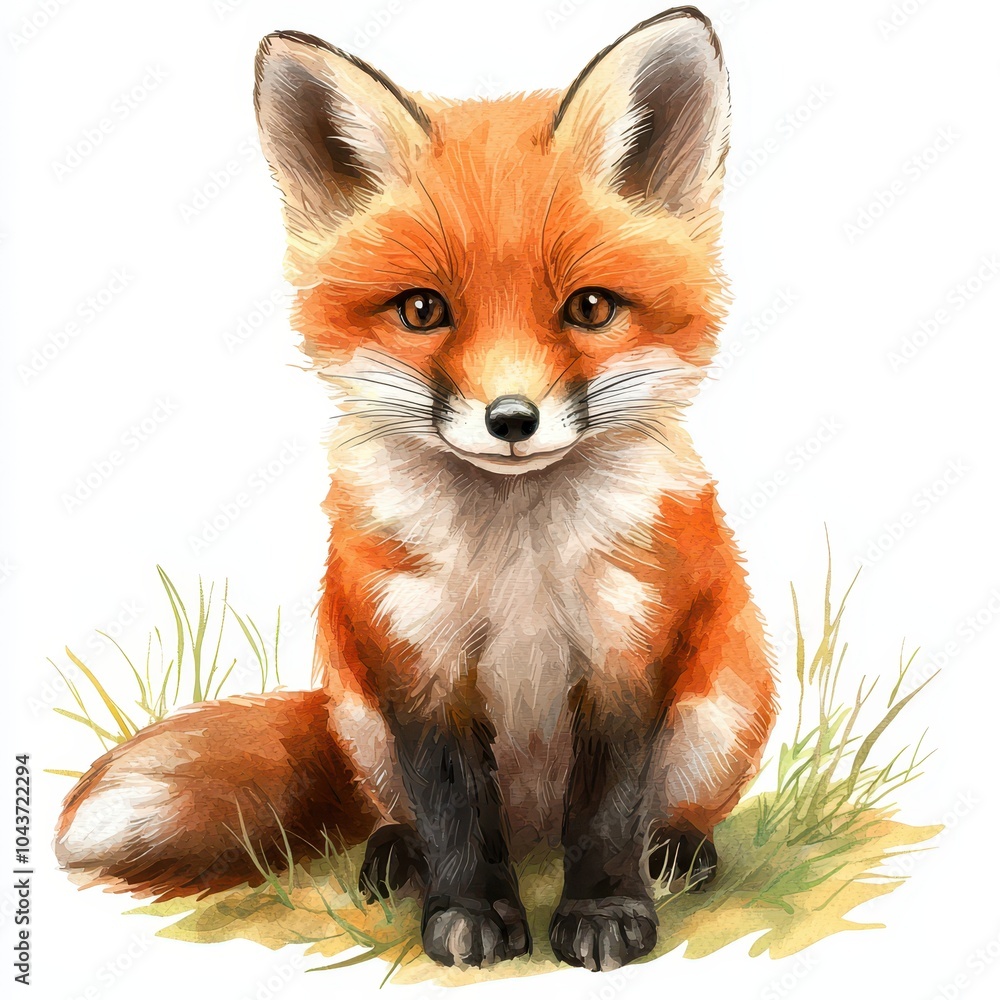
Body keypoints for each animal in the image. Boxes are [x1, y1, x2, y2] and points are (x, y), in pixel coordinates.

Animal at [55, 7, 776, 973]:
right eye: (423, 310)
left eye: (590, 308)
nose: (512, 419)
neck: (517, 568)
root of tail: (533, 827)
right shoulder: (417, 656)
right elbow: (452, 807)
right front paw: (466, 915)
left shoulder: (626, 648)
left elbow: (608, 808)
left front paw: (604, 910)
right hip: (357, 711)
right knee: (405, 810)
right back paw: (397, 856)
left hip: (721, 705)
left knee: (665, 808)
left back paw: (680, 851)